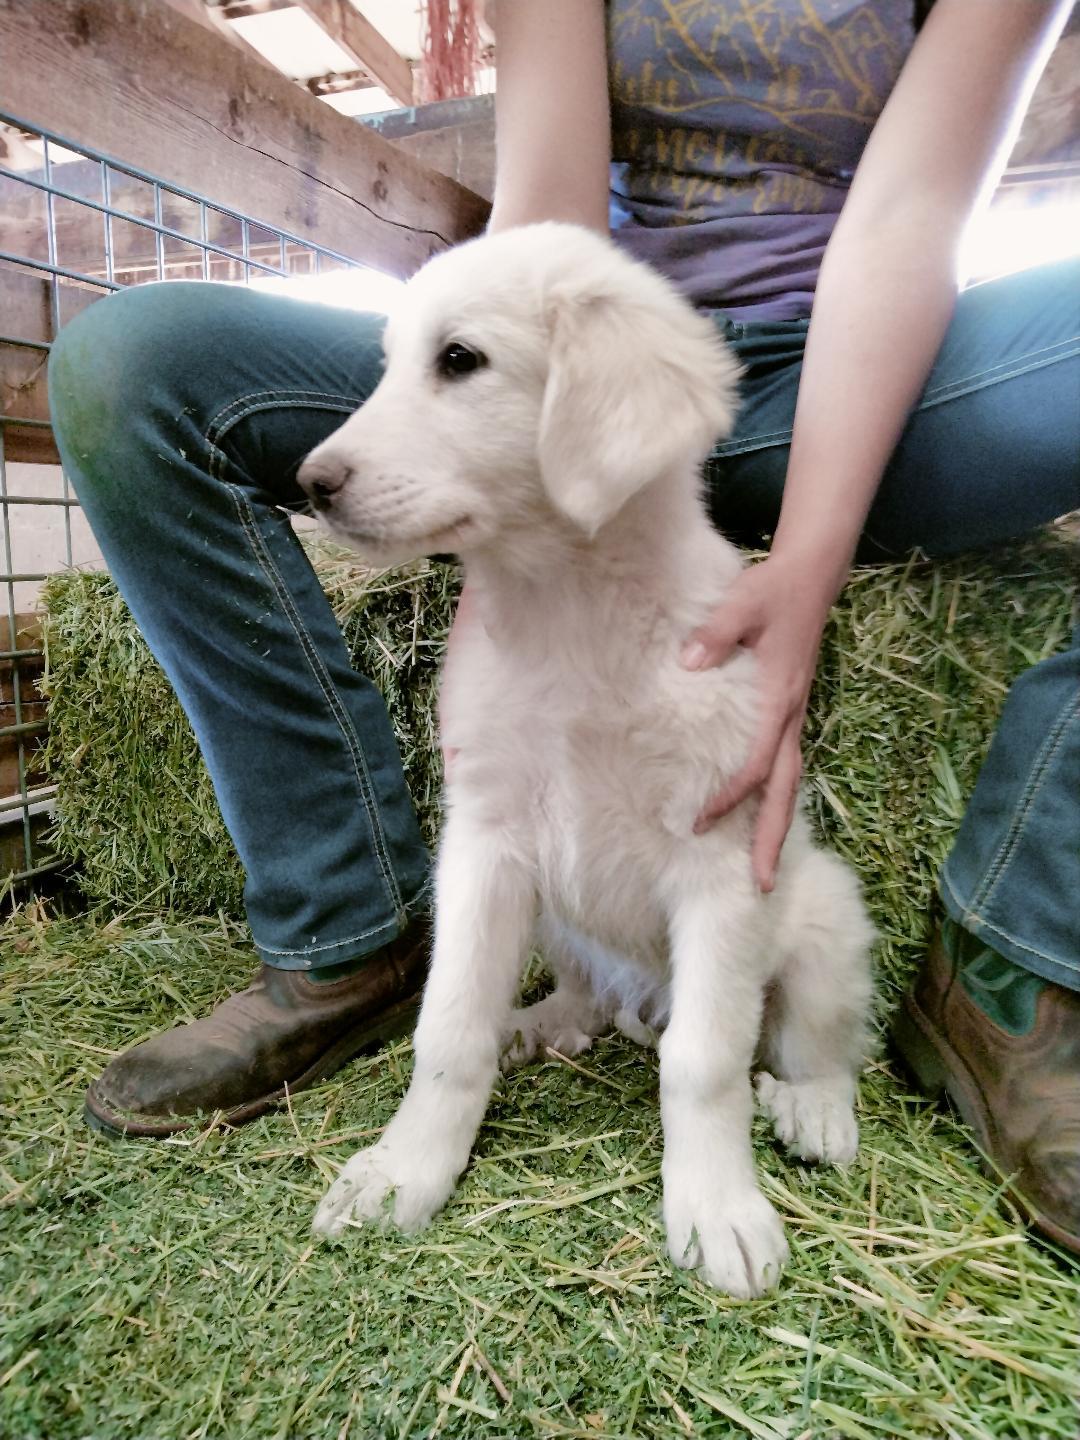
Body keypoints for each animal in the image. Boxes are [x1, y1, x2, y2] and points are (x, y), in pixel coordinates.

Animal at [300, 227, 875, 1307]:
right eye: (390, 364)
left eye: (459, 360)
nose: (311, 481)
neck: (566, 611)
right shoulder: (484, 845)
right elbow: (448, 1031)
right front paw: (408, 1169)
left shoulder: (721, 864)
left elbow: (705, 1061)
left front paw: (716, 1208)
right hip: (554, 912)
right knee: (587, 996)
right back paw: (544, 1022)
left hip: (821, 921)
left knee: (812, 1043)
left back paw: (813, 1109)